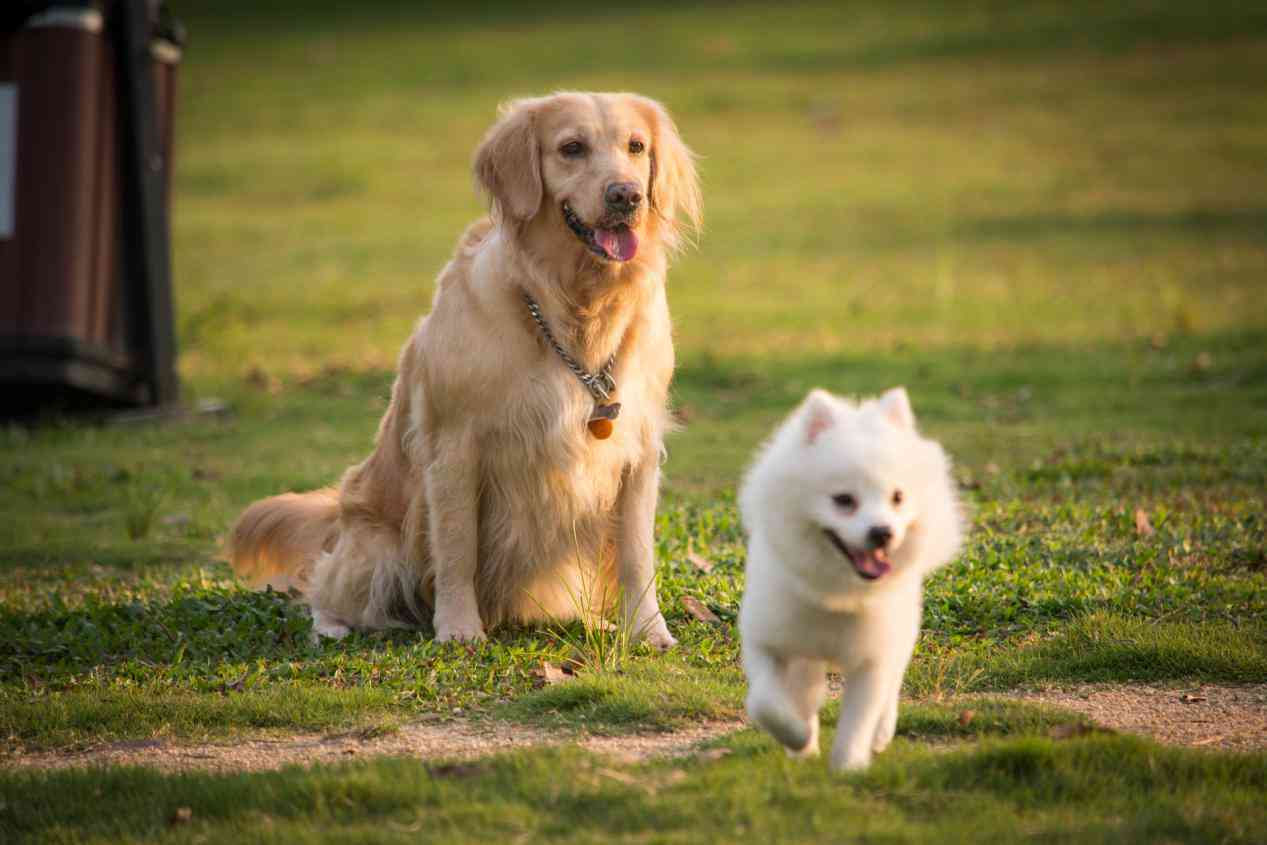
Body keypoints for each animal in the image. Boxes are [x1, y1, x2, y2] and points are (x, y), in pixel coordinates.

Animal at [739, 390, 962, 775]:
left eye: (898, 497)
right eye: (843, 500)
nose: (883, 532)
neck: (837, 594)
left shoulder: (872, 658)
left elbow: (860, 717)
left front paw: (849, 767)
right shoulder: (767, 641)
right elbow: (766, 704)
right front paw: (799, 738)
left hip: (902, 630)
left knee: (892, 686)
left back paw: (882, 733)